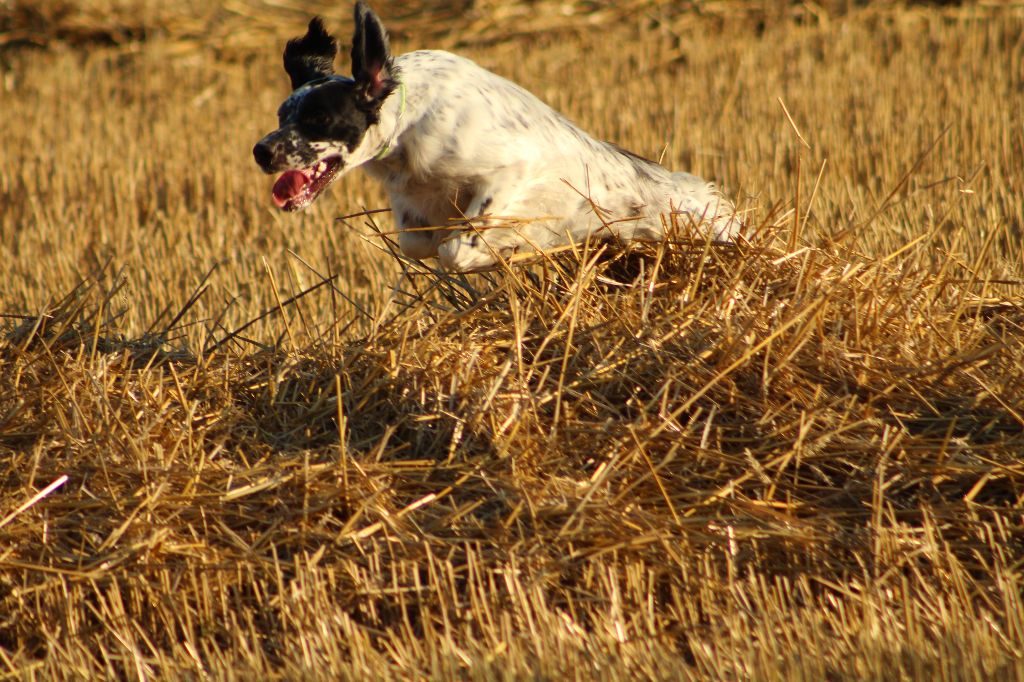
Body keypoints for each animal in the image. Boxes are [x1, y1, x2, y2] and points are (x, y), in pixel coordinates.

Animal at [252, 2, 741, 274]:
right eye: (282, 114)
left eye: (318, 118)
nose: (261, 151)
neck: (410, 121)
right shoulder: (413, 209)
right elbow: (418, 244)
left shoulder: (511, 171)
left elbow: (455, 248)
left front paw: (509, 246)